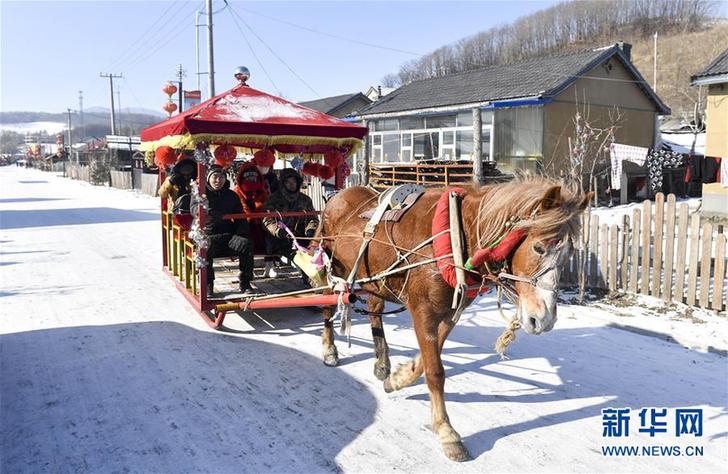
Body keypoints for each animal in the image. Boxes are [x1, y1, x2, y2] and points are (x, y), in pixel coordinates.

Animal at [318, 176, 592, 462]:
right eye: (538, 247)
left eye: (570, 253)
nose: (544, 319)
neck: (455, 236)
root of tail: (337, 197)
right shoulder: (423, 311)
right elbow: (435, 371)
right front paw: (446, 431)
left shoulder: (450, 314)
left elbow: (427, 359)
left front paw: (398, 379)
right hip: (331, 268)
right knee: (326, 307)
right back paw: (329, 349)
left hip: (373, 279)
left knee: (374, 308)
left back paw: (382, 362)